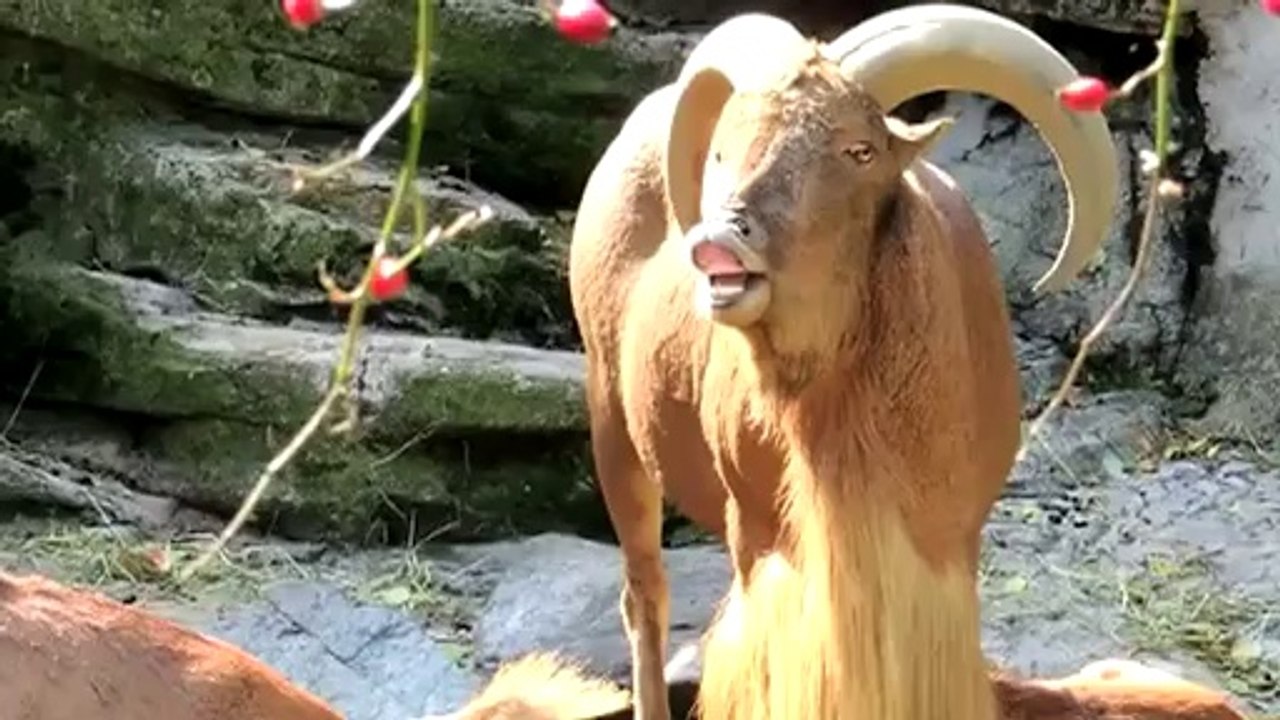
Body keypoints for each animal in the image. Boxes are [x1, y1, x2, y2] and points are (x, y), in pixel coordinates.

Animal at [566, 4, 1119, 720]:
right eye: (722, 148)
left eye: (860, 150)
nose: (718, 240)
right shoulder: (765, 541)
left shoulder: (945, 547)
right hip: (612, 421)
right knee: (644, 596)